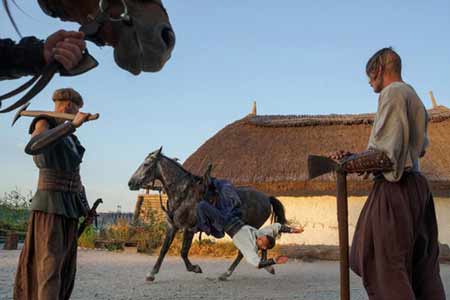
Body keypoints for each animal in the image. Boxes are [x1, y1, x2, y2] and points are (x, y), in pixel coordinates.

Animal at [128, 147, 288, 282]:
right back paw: (267, 266)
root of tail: (266, 197)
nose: (131, 183)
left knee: (245, 251)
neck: (183, 194)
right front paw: (152, 274)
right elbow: (163, 250)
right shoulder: (172, 226)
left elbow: (183, 252)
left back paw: (227, 273)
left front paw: (195, 268)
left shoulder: (189, 228)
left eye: (146, 164)